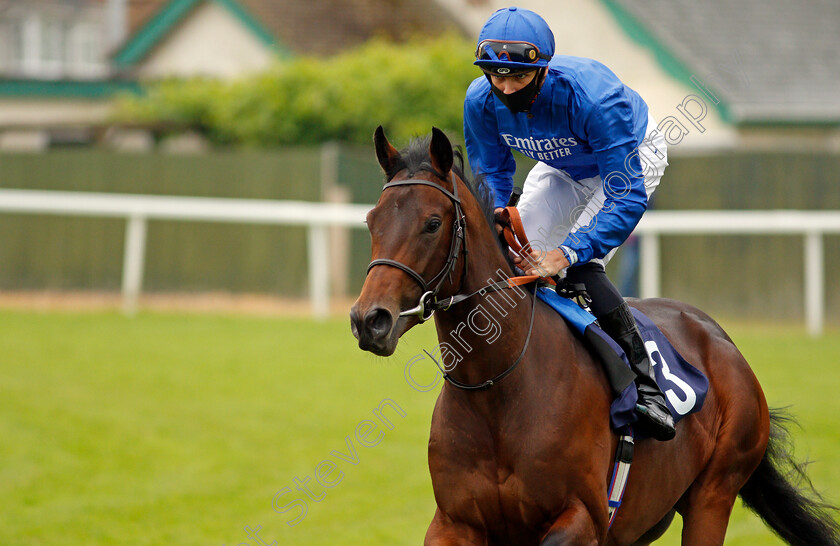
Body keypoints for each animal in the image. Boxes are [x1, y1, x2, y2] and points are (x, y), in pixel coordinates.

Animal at [348, 125, 840, 540]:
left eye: (432, 224)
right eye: (372, 220)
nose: (370, 319)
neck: (499, 390)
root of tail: (721, 340)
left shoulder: (583, 517)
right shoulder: (455, 521)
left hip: (714, 493)